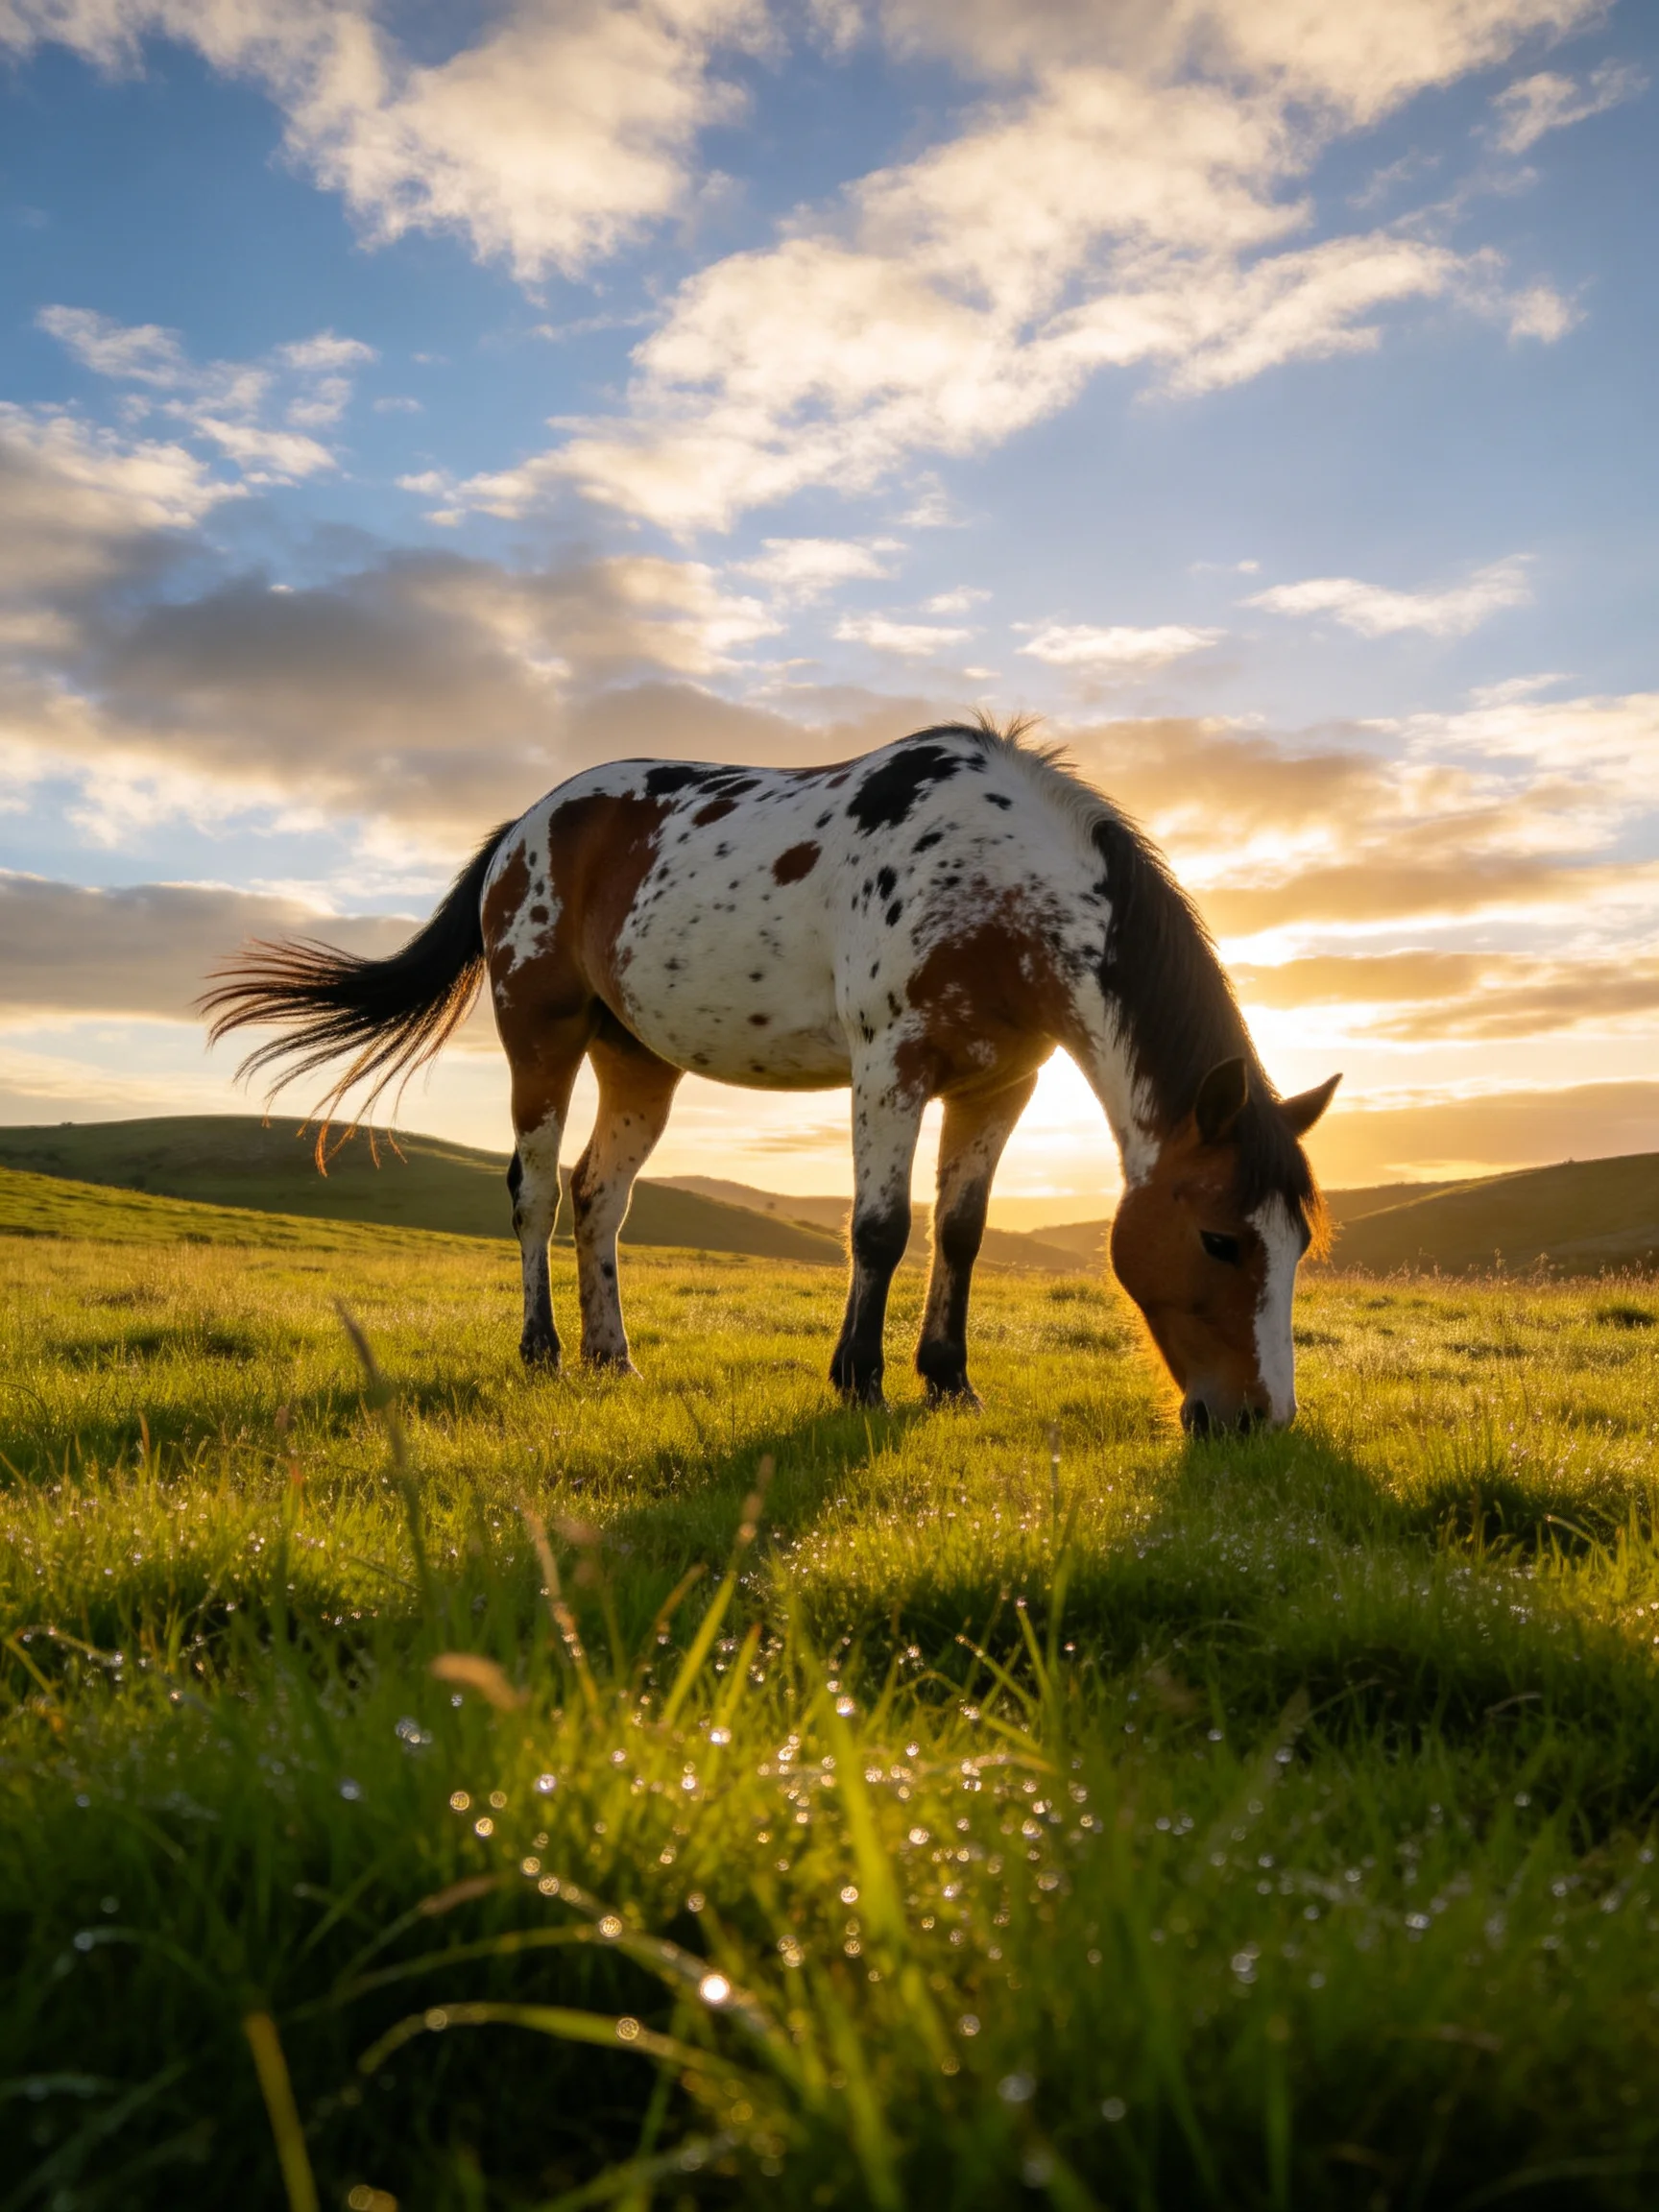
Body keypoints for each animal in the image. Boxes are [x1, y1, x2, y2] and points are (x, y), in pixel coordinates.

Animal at [203, 719, 1338, 1431]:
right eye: (1220, 1239)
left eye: (1296, 1247)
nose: (1258, 1420)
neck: (993, 878)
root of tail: (524, 830)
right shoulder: (890, 1065)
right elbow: (879, 1230)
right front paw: (858, 1383)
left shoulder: (998, 1086)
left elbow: (961, 1234)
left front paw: (949, 1382)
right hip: (543, 1032)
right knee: (534, 1192)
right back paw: (542, 1349)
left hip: (637, 1060)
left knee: (599, 1196)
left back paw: (614, 1355)